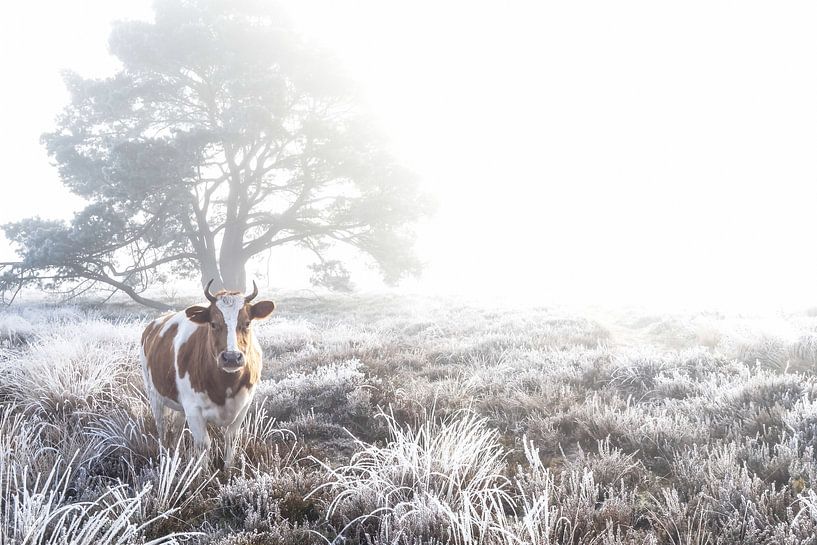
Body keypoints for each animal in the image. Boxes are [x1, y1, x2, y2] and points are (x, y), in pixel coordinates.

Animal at [140, 278, 278, 466]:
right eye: (213, 324)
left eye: (247, 323)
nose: (231, 357)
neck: (225, 386)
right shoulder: (193, 409)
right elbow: (203, 444)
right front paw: (203, 472)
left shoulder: (243, 406)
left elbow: (231, 438)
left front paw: (229, 469)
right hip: (154, 393)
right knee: (162, 427)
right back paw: (164, 456)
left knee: (176, 427)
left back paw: (176, 452)